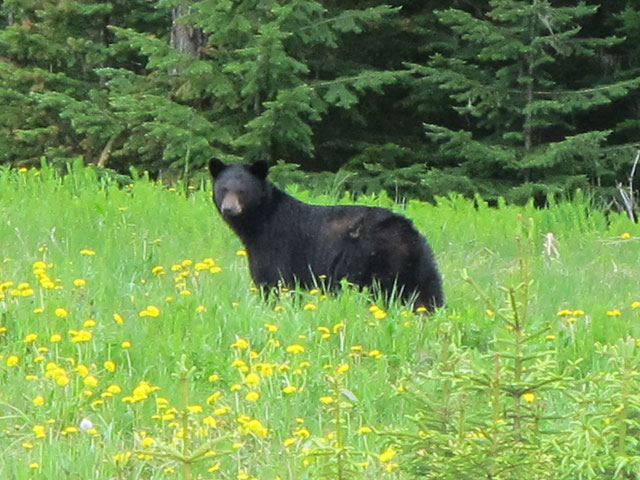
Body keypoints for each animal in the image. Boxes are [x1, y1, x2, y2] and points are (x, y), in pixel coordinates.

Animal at [208, 159, 442, 310]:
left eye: (242, 191)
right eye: (223, 189)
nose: (229, 209)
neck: (259, 223)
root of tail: (409, 232)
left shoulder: (276, 244)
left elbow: (273, 280)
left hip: (379, 261)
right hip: (418, 264)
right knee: (428, 291)